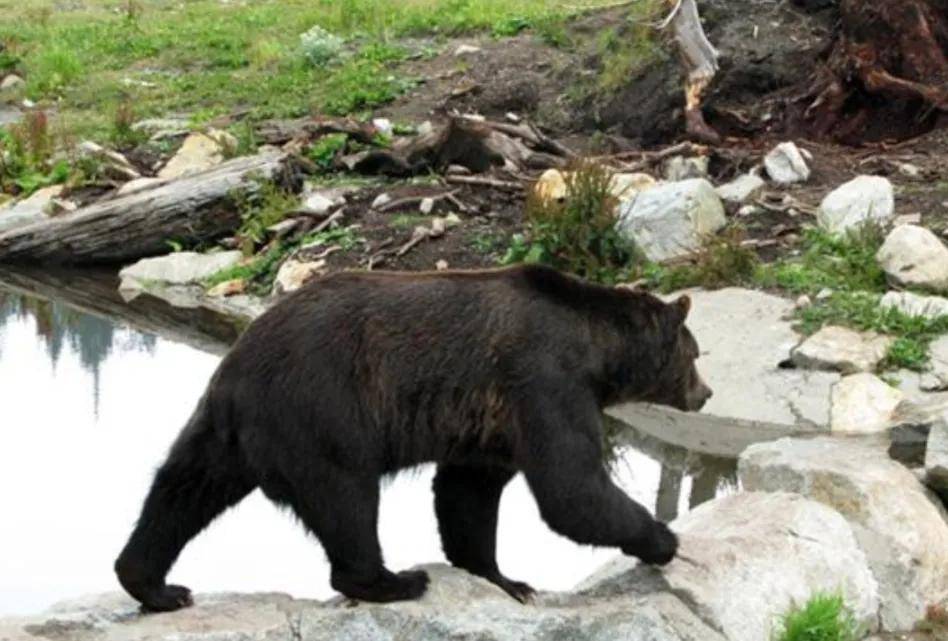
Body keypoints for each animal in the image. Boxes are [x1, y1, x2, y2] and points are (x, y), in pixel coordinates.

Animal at [114, 264, 712, 612]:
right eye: (696, 353)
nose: (705, 393)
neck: (597, 350)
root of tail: (239, 367)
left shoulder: (490, 424)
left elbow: (467, 496)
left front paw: (504, 577)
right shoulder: (545, 382)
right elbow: (572, 489)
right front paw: (663, 539)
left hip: (221, 430)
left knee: (180, 491)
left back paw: (154, 584)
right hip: (323, 414)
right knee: (347, 501)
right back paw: (392, 580)